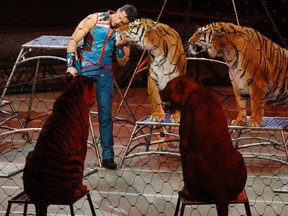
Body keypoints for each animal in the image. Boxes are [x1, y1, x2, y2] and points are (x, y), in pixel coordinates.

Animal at [22, 75, 95, 215]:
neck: (74, 89)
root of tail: (41, 198)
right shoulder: (82, 144)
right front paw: (82, 185)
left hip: (30, 155)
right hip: (75, 160)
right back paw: (80, 190)